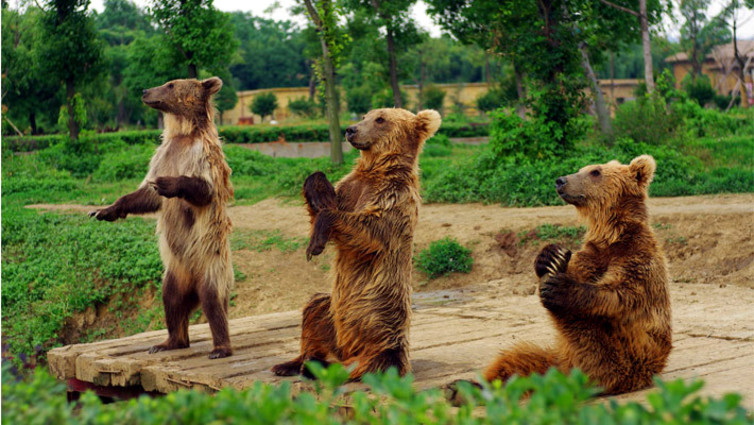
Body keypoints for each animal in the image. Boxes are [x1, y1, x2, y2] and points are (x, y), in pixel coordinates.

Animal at [89, 76, 234, 358]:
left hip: (210, 262)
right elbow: (145, 194)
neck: (183, 133)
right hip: (176, 272)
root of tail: (193, 285)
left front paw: (167, 183)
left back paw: (220, 347)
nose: (145, 90)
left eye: (170, 84)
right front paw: (104, 210)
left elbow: (203, 188)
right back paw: (169, 341)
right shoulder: (164, 154)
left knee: (213, 300)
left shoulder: (202, 154)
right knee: (171, 300)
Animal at [270, 107, 438, 380]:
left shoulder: (393, 197)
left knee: (375, 359)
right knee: (314, 309)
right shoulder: (351, 187)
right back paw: (293, 363)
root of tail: (348, 351)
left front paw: (315, 244)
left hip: (382, 326)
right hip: (333, 314)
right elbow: (322, 197)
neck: (377, 170)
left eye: (380, 119)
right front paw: (319, 193)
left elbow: (368, 230)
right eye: (364, 116)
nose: (350, 130)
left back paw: (318, 367)